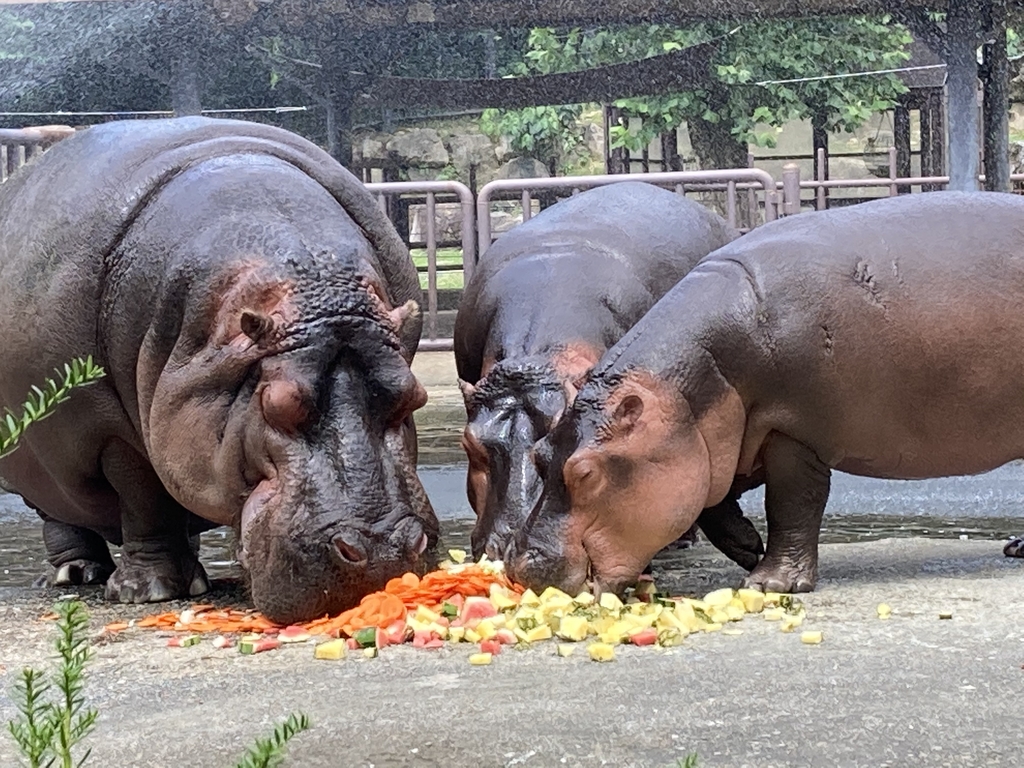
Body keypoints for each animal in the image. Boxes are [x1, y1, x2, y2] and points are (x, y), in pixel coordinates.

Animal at [0, 118, 436, 626]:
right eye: (275, 404)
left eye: (412, 396)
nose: (382, 550)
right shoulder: (111, 432)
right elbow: (144, 500)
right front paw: (149, 592)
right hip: (43, 461)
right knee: (61, 516)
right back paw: (78, 573)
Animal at [507, 191, 1024, 593]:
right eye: (540, 452)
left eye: (585, 473)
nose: (519, 565)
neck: (691, 390)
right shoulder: (715, 445)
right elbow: (712, 505)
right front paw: (748, 547)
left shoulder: (793, 432)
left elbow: (792, 504)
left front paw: (770, 582)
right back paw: (1016, 548)